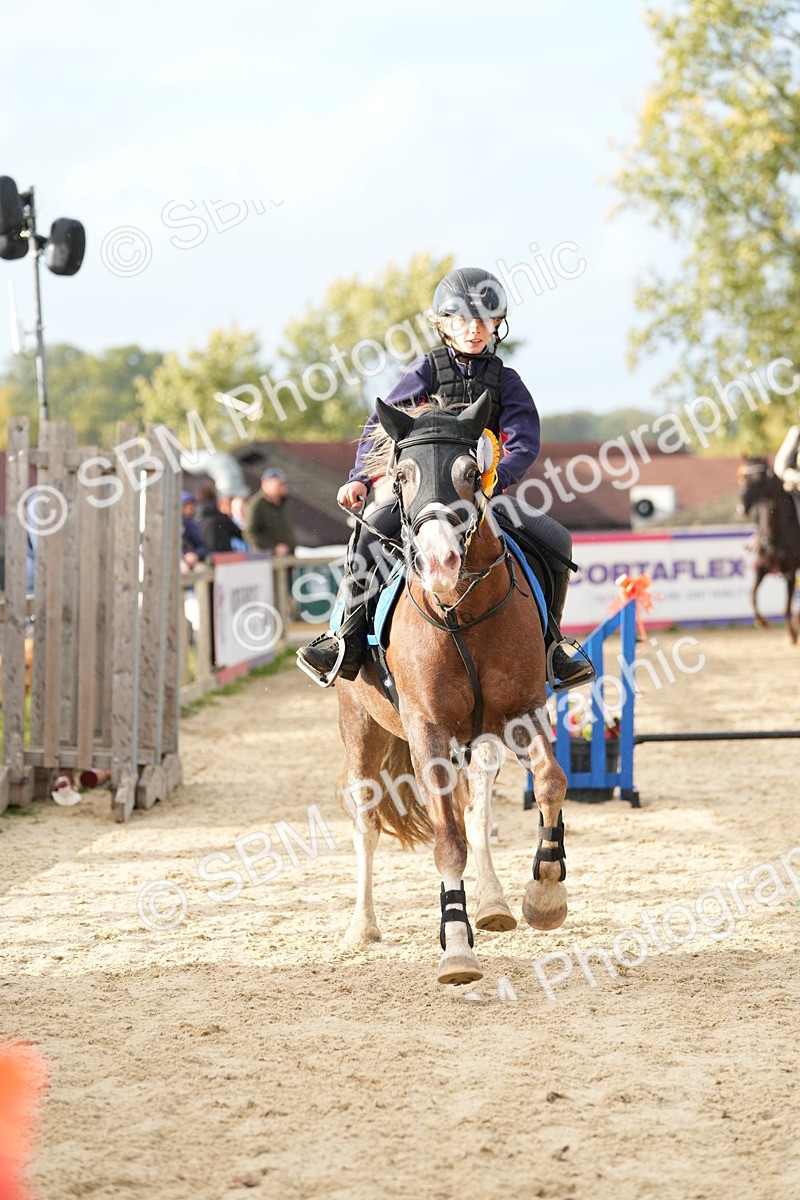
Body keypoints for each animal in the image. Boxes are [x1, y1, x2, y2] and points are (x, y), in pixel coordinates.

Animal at [335, 392, 568, 986]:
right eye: (402, 474)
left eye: (469, 472)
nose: (440, 563)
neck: (459, 611)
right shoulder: (428, 731)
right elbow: (446, 839)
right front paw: (457, 947)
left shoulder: (523, 713)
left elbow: (550, 783)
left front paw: (545, 894)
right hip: (361, 730)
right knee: (368, 823)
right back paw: (362, 927)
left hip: (480, 738)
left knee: (478, 808)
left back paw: (495, 904)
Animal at [737, 456, 800, 644]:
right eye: (742, 478)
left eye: (760, 479)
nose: (741, 508)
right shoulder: (762, 566)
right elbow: (751, 593)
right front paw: (762, 622)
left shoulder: (790, 571)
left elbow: (786, 606)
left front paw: (792, 635)